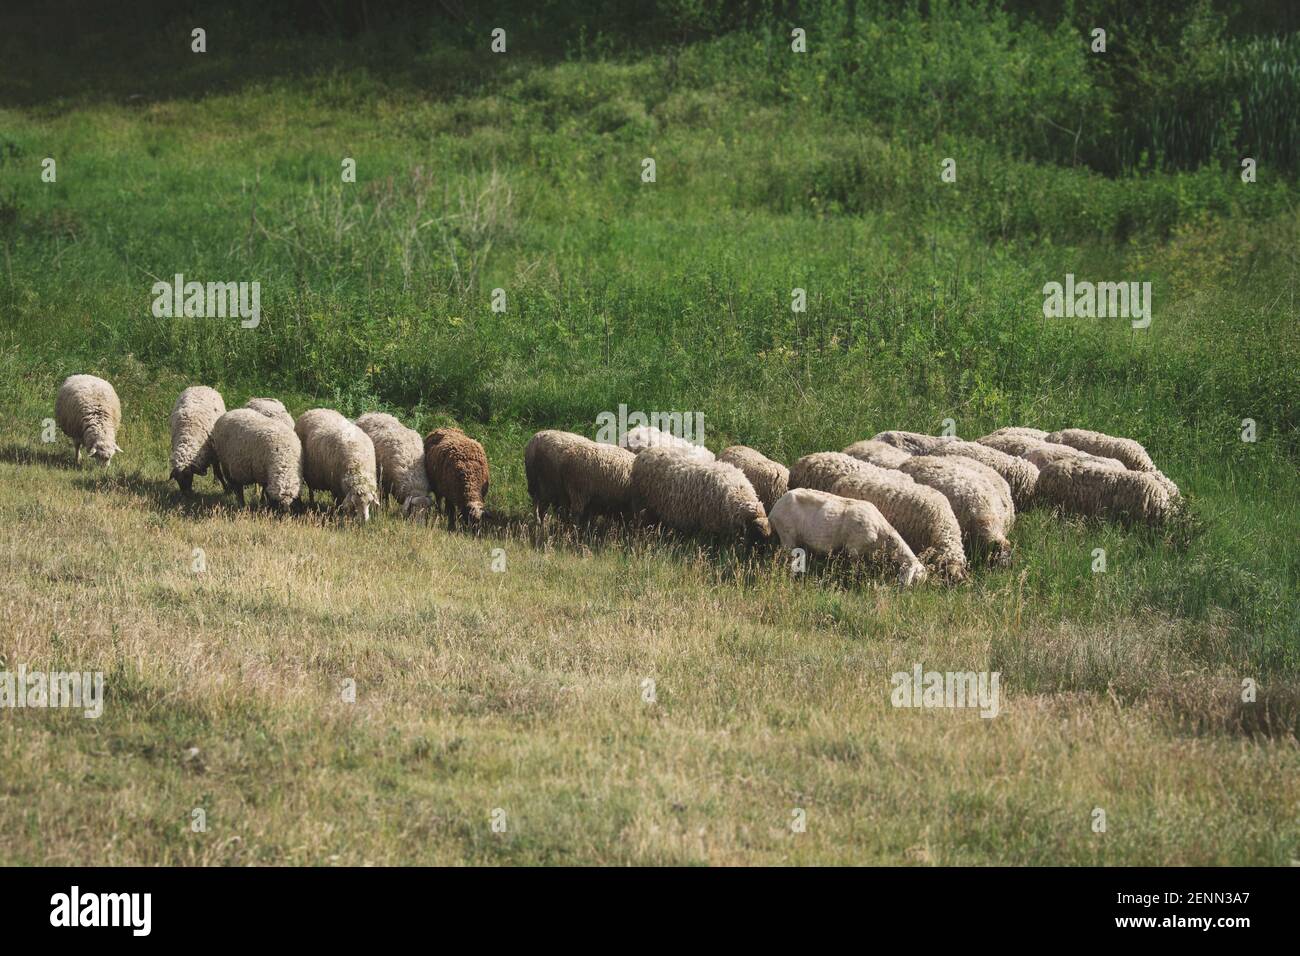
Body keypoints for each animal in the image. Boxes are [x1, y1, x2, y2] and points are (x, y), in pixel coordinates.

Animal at [769, 488, 927, 586]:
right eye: (915, 580)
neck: (882, 532)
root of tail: (774, 509)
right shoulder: (854, 547)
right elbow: (855, 567)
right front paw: (853, 581)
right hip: (787, 534)